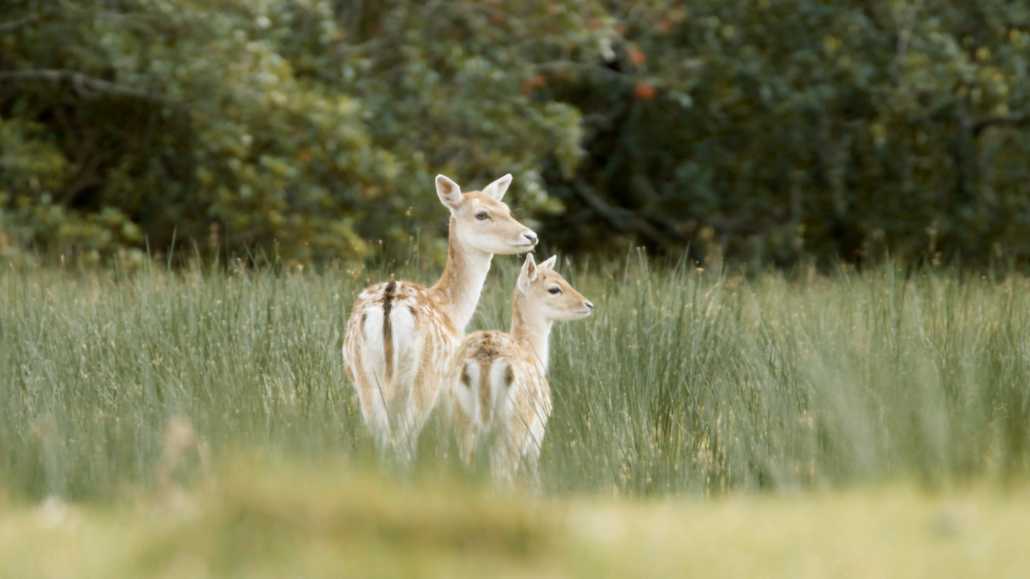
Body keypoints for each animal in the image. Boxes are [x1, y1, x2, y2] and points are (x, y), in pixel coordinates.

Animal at [346, 171, 539, 455]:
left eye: (506, 208)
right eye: (482, 214)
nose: (530, 236)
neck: (451, 309)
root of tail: (389, 311)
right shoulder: (449, 390)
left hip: (365, 376)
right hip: (426, 377)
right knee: (404, 439)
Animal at [442, 252, 597, 486]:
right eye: (554, 289)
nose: (588, 304)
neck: (532, 355)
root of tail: (485, 363)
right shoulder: (538, 430)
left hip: (461, 418)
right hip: (515, 425)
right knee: (502, 476)